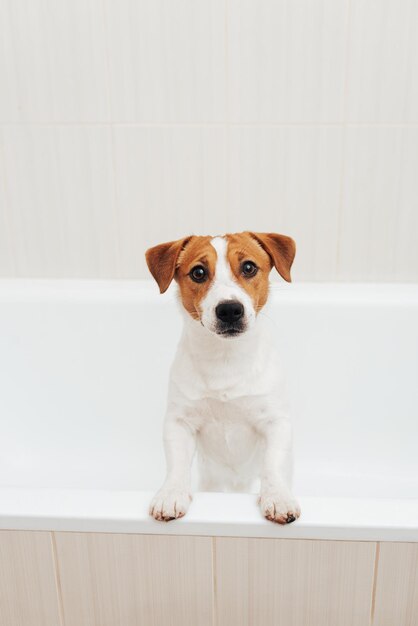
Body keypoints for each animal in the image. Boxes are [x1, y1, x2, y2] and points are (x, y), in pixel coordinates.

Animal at [145, 229, 300, 520]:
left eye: (249, 267)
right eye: (198, 272)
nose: (229, 309)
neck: (225, 359)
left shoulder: (275, 421)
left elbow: (272, 464)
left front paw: (277, 496)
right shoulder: (179, 421)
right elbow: (177, 464)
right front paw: (171, 494)